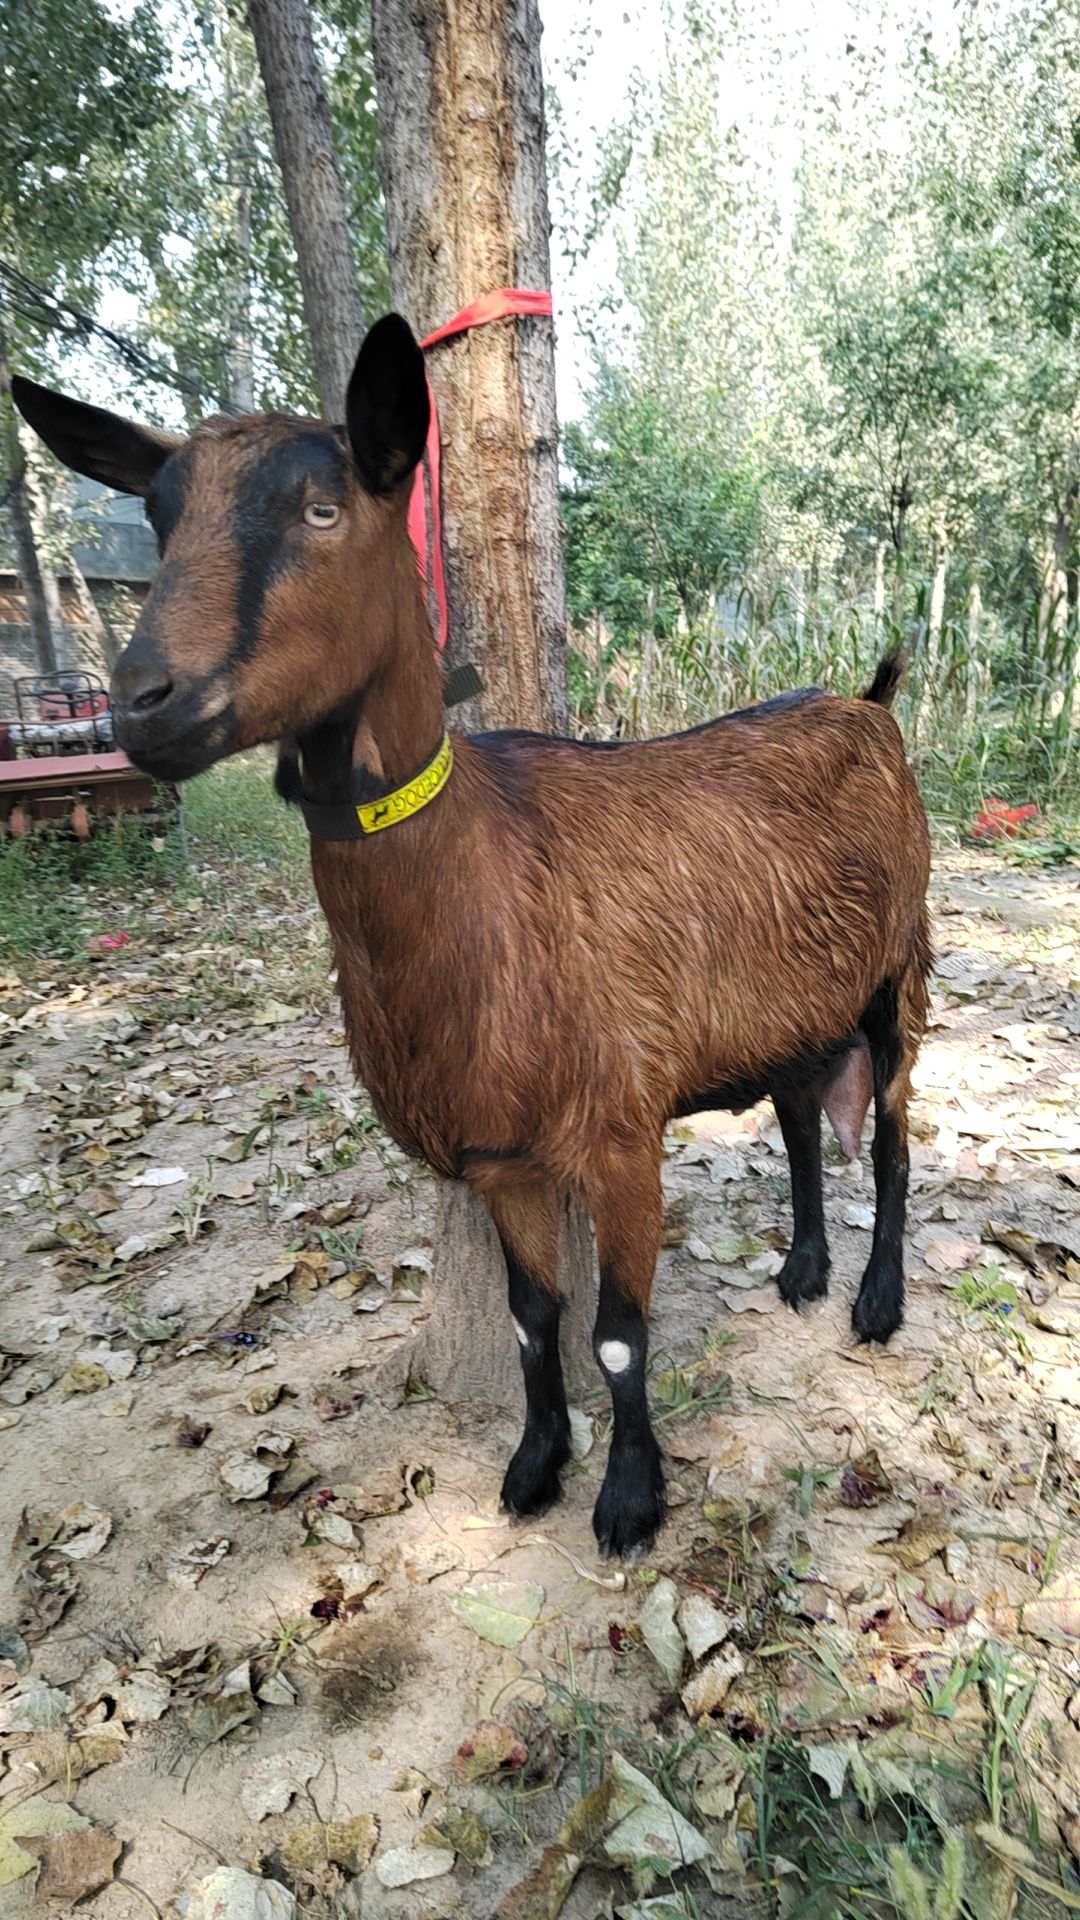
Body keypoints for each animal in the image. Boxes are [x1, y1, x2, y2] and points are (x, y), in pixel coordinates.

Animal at [12, 314, 930, 1559]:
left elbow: (618, 1333)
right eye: (156, 516)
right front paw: (535, 1464)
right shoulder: (501, 1155)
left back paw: (877, 1300)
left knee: (889, 1137)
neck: (486, 882)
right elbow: (535, 1316)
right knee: (796, 1118)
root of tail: (869, 702)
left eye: (323, 509)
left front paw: (628, 1499)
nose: (145, 704)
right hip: (787, 998)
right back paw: (802, 1267)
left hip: (900, 965)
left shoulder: (618, 1132)